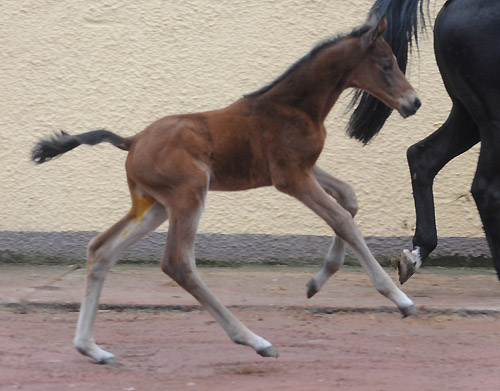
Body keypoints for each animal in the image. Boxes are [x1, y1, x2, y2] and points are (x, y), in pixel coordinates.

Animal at [31, 10, 420, 366]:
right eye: (386, 64)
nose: (413, 103)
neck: (292, 107)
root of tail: (133, 140)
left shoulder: (303, 169)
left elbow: (349, 197)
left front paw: (316, 281)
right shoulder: (291, 177)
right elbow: (343, 219)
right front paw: (400, 299)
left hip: (155, 205)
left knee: (101, 250)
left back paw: (92, 348)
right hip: (189, 194)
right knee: (177, 263)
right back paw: (256, 341)